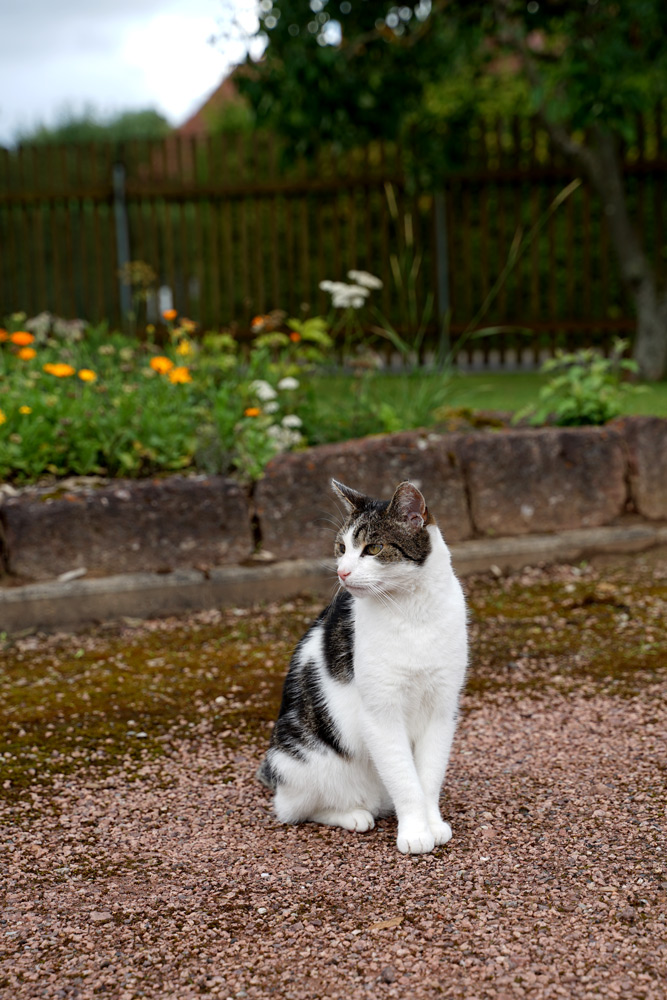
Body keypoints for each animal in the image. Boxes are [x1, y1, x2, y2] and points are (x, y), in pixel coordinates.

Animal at [258, 480, 470, 856]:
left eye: (373, 548)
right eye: (342, 547)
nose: (342, 571)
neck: (411, 612)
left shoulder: (442, 709)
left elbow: (428, 777)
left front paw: (432, 824)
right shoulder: (380, 715)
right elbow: (405, 779)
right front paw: (415, 832)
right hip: (299, 760)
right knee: (293, 809)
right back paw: (353, 815)